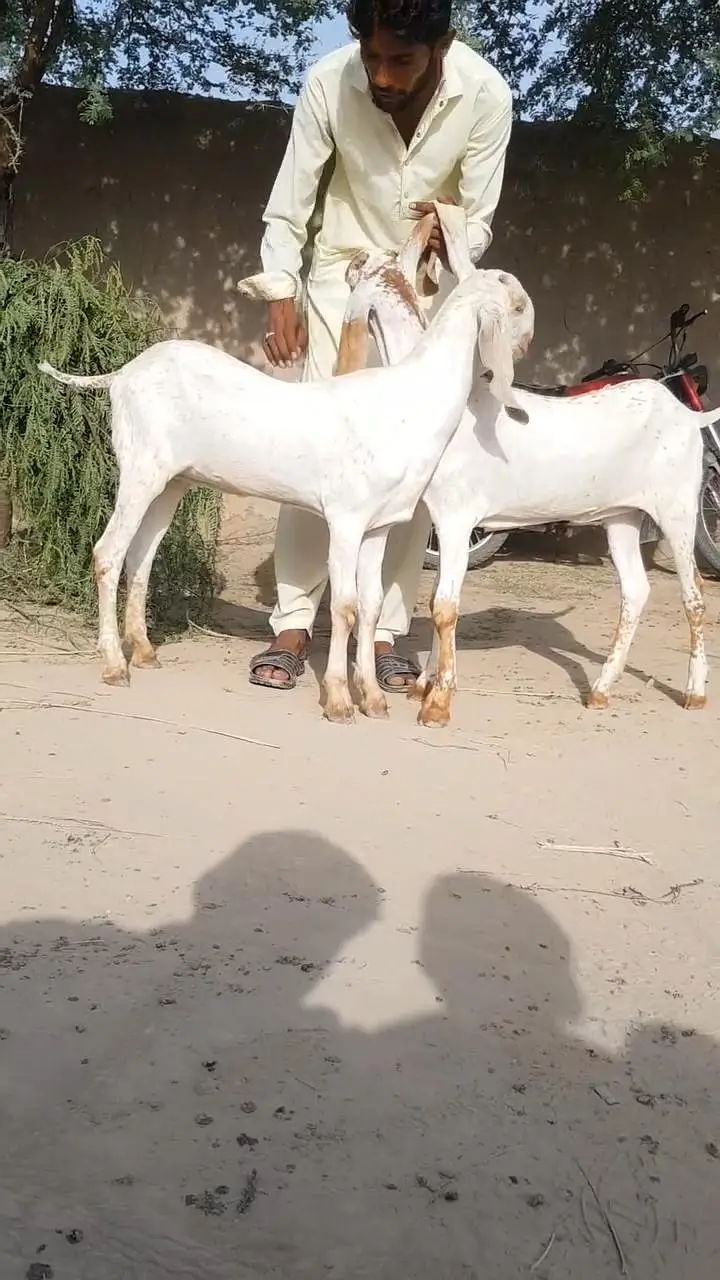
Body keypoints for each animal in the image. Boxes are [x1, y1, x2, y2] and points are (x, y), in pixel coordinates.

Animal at [37, 206, 523, 724]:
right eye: (514, 303)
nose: (522, 347)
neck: (408, 398)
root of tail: (122, 374)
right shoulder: (345, 520)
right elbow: (345, 606)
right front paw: (338, 701)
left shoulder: (380, 525)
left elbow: (371, 606)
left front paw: (373, 698)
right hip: (138, 472)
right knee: (107, 554)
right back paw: (113, 665)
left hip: (171, 483)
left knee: (141, 555)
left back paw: (144, 652)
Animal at [339, 210, 713, 726]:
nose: (347, 261)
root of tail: (690, 415)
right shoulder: (444, 518)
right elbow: (439, 599)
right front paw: (423, 684)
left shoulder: (457, 517)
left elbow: (444, 605)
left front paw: (437, 704)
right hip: (621, 516)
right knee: (636, 591)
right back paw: (600, 690)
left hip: (677, 506)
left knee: (694, 594)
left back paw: (694, 693)